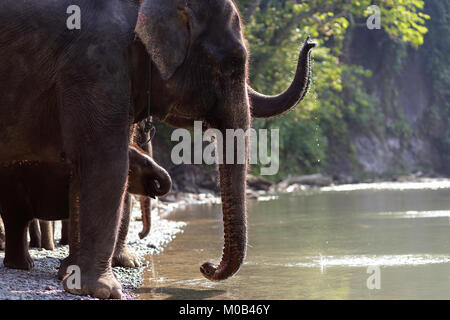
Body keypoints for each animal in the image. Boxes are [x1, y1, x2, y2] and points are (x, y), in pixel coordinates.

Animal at [0, 0, 314, 300]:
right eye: (231, 64)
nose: (206, 266)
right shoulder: (95, 63)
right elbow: (107, 163)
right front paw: (103, 291)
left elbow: (83, 167)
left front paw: (71, 275)